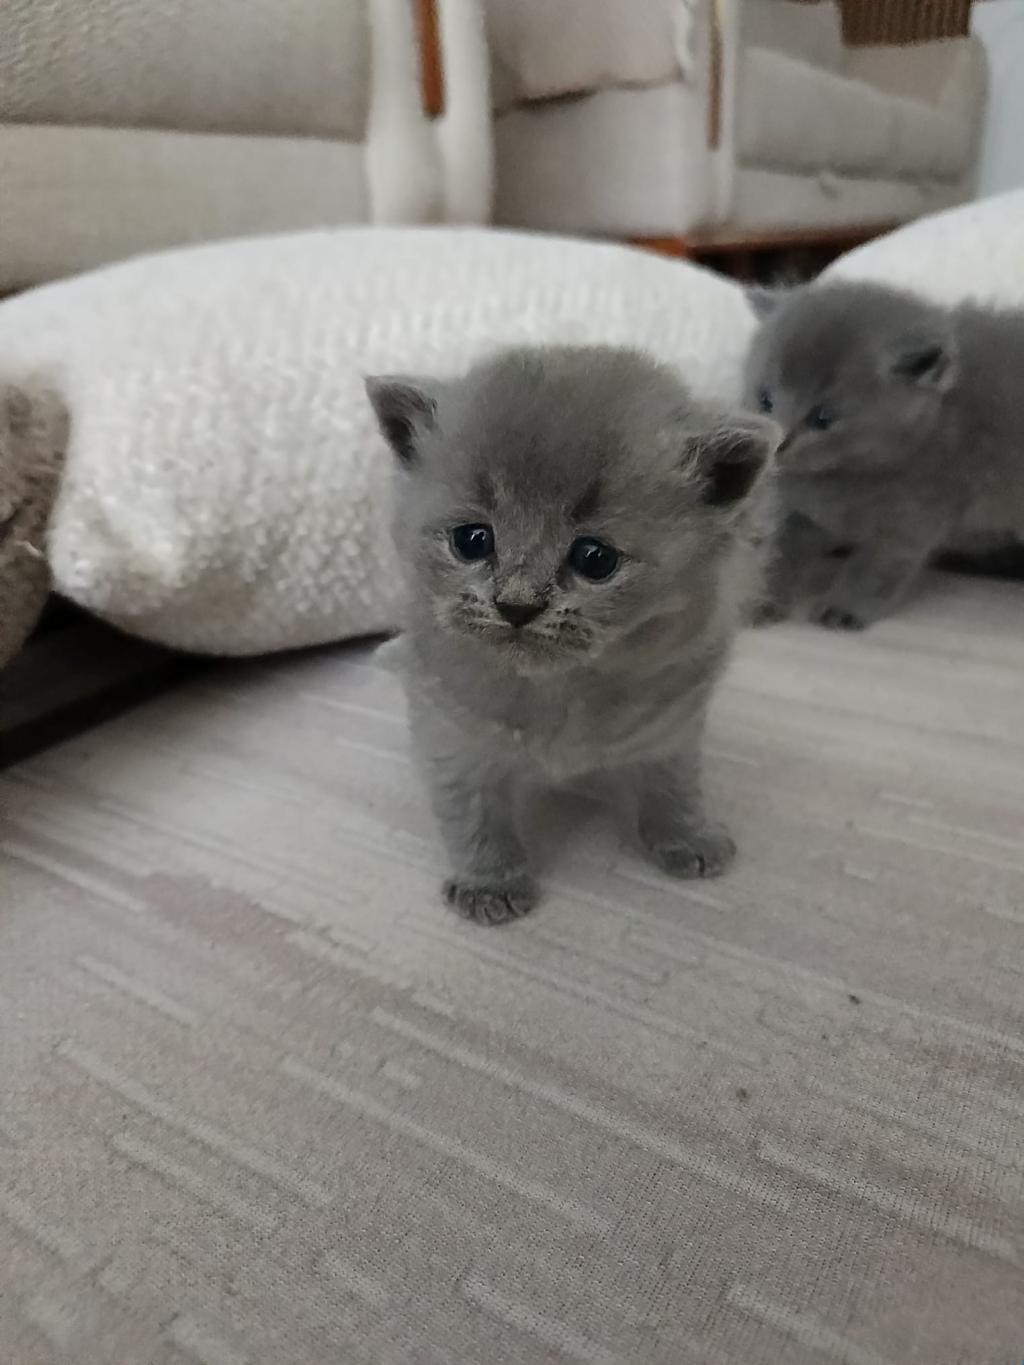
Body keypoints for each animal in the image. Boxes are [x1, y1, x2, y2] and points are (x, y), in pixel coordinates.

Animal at [366, 345, 780, 924]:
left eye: (595, 558)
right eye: (472, 540)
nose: (516, 605)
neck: (561, 693)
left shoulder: (674, 722)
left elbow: (675, 786)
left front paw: (688, 837)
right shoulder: (451, 733)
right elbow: (472, 815)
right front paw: (490, 882)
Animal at [745, 280, 1024, 628]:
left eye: (823, 418)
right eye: (765, 400)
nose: (778, 444)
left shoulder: (912, 518)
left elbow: (874, 568)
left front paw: (843, 608)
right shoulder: (801, 516)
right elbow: (777, 553)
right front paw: (761, 599)